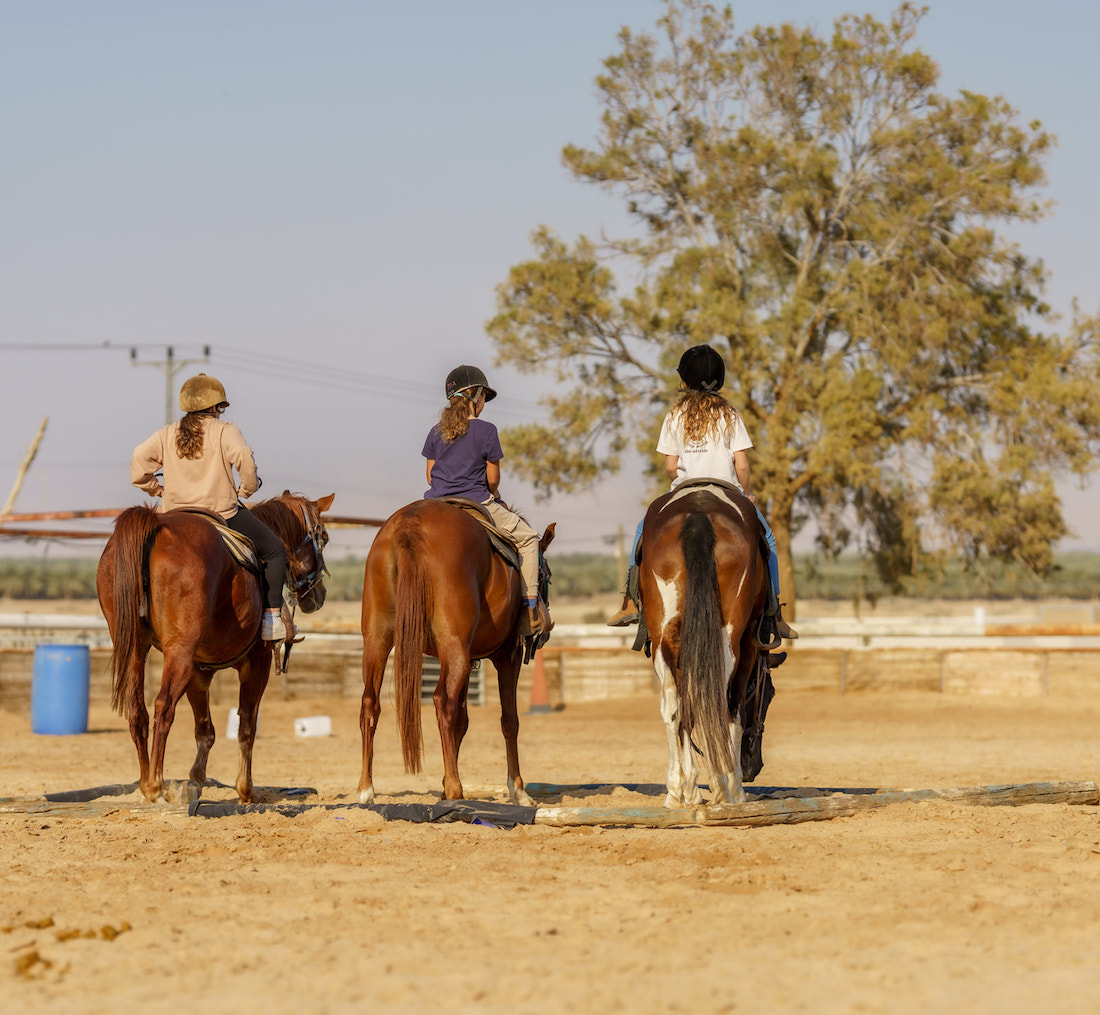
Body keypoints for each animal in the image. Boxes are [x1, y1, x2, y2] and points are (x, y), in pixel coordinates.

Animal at [96, 492, 332, 800]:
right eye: (323, 537)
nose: (319, 595)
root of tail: (156, 525)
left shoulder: (199, 672)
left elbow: (205, 730)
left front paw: (196, 781)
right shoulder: (257, 664)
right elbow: (247, 725)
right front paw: (246, 790)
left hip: (136, 649)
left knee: (138, 710)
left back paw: (146, 783)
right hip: (178, 653)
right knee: (163, 706)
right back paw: (157, 785)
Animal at [358, 497, 554, 804]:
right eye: (546, 575)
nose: (545, 626)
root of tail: (410, 524)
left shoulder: (470, 658)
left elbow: (463, 721)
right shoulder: (506, 657)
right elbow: (509, 720)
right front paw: (518, 790)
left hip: (377, 640)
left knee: (370, 703)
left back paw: (366, 789)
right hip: (454, 648)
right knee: (443, 702)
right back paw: (454, 788)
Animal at [642, 481, 778, 809]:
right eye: (769, 695)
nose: (754, 768)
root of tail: (698, 514)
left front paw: (680, 788)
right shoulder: (749, 645)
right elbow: (734, 712)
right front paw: (734, 787)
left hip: (664, 636)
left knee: (673, 705)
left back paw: (684, 789)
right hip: (727, 639)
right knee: (716, 702)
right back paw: (723, 786)